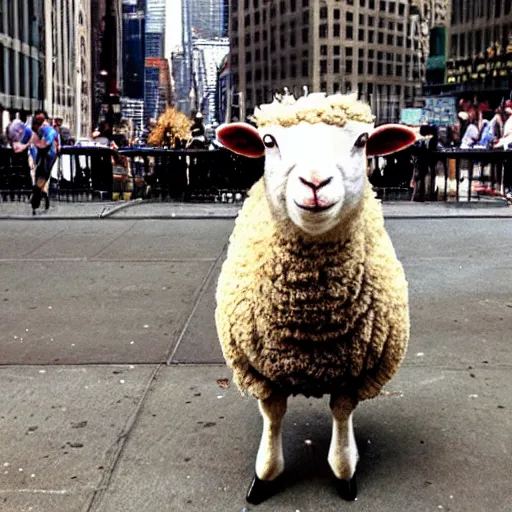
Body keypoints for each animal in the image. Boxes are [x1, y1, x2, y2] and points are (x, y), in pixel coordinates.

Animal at [214, 92, 418, 504]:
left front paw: (345, 472)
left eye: (363, 141)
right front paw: (263, 478)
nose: (314, 182)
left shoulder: (357, 376)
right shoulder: (260, 373)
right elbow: (273, 417)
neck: (310, 317)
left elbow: (341, 414)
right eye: (268, 141)